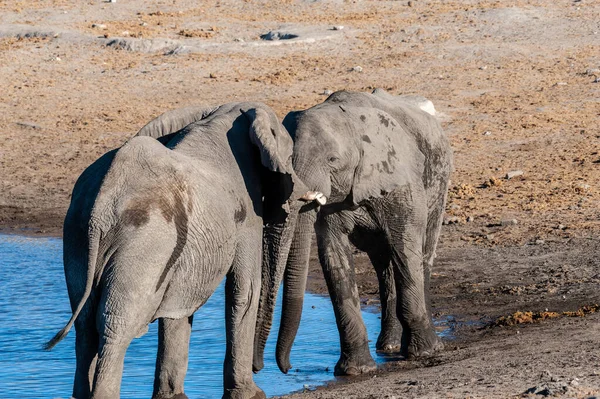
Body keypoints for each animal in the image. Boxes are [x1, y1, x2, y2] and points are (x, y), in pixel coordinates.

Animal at [44, 102, 318, 399]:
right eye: (290, 157)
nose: (263, 368)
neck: (224, 115)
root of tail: (101, 205)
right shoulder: (247, 210)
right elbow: (245, 290)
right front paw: (252, 395)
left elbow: (178, 305)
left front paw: (173, 397)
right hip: (146, 239)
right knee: (115, 323)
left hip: (77, 234)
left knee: (85, 324)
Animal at [253, 90, 454, 378]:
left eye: (332, 160)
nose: (286, 368)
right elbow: (334, 257)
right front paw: (356, 370)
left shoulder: (399, 178)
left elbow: (405, 247)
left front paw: (424, 353)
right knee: (383, 264)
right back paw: (389, 346)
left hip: (439, 180)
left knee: (421, 253)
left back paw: (422, 343)